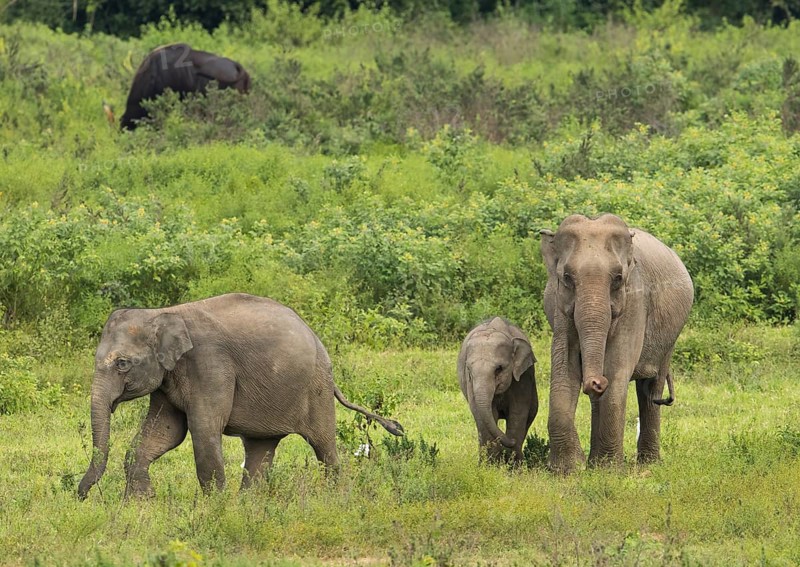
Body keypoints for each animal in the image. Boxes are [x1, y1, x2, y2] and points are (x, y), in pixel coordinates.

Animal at [77, 293, 404, 500]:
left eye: (122, 363)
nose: (80, 495)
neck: (162, 312)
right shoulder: (167, 377)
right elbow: (165, 432)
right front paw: (141, 502)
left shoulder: (211, 366)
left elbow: (203, 429)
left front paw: (214, 508)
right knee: (260, 449)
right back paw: (250, 505)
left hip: (317, 388)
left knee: (323, 444)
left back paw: (334, 496)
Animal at [457, 317, 537, 463]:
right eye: (469, 370)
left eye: (499, 369)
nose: (511, 441)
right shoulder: (470, 383)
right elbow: (482, 413)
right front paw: (491, 464)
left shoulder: (523, 378)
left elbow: (518, 411)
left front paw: (513, 464)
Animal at [540, 213, 693, 474]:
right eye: (567, 278)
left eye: (618, 279)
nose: (595, 381)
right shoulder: (561, 308)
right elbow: (564, 367)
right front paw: (568, 469)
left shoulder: (635, 301)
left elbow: (617, 367)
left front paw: (609, 471)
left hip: (670, 337)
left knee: (651, 390)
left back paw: (648, 463)